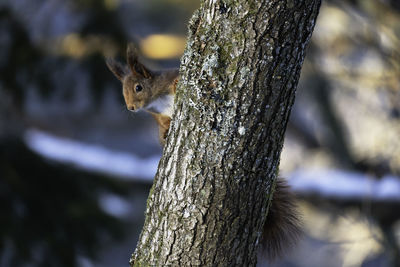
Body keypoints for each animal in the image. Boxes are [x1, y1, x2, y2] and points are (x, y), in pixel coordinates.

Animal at [106, 43, 300, 260]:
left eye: (138, 87)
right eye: (123, 91)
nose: (131, 107)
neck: (157, 101)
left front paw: (176, 84)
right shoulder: (158, 117)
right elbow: (163, 125)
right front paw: (165, 133)